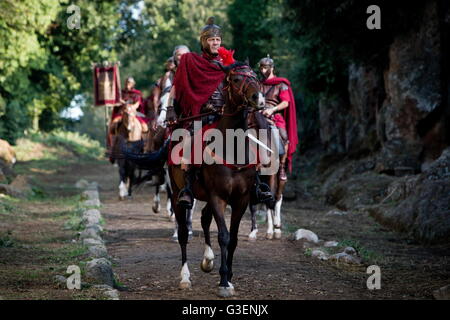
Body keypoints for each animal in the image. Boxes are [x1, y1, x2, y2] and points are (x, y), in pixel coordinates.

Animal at [169, 62, 268, 298]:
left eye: (255, 76)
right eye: (235, 79)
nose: (258, 98)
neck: (232, 148)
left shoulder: (241, 199)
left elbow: (233, 238)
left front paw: (229, 278)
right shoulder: (218, 197)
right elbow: (223, 236)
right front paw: (223, 281)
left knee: (205, 218)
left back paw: (208, 259)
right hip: (177, 192)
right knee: (184, 232)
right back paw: (185, 277)